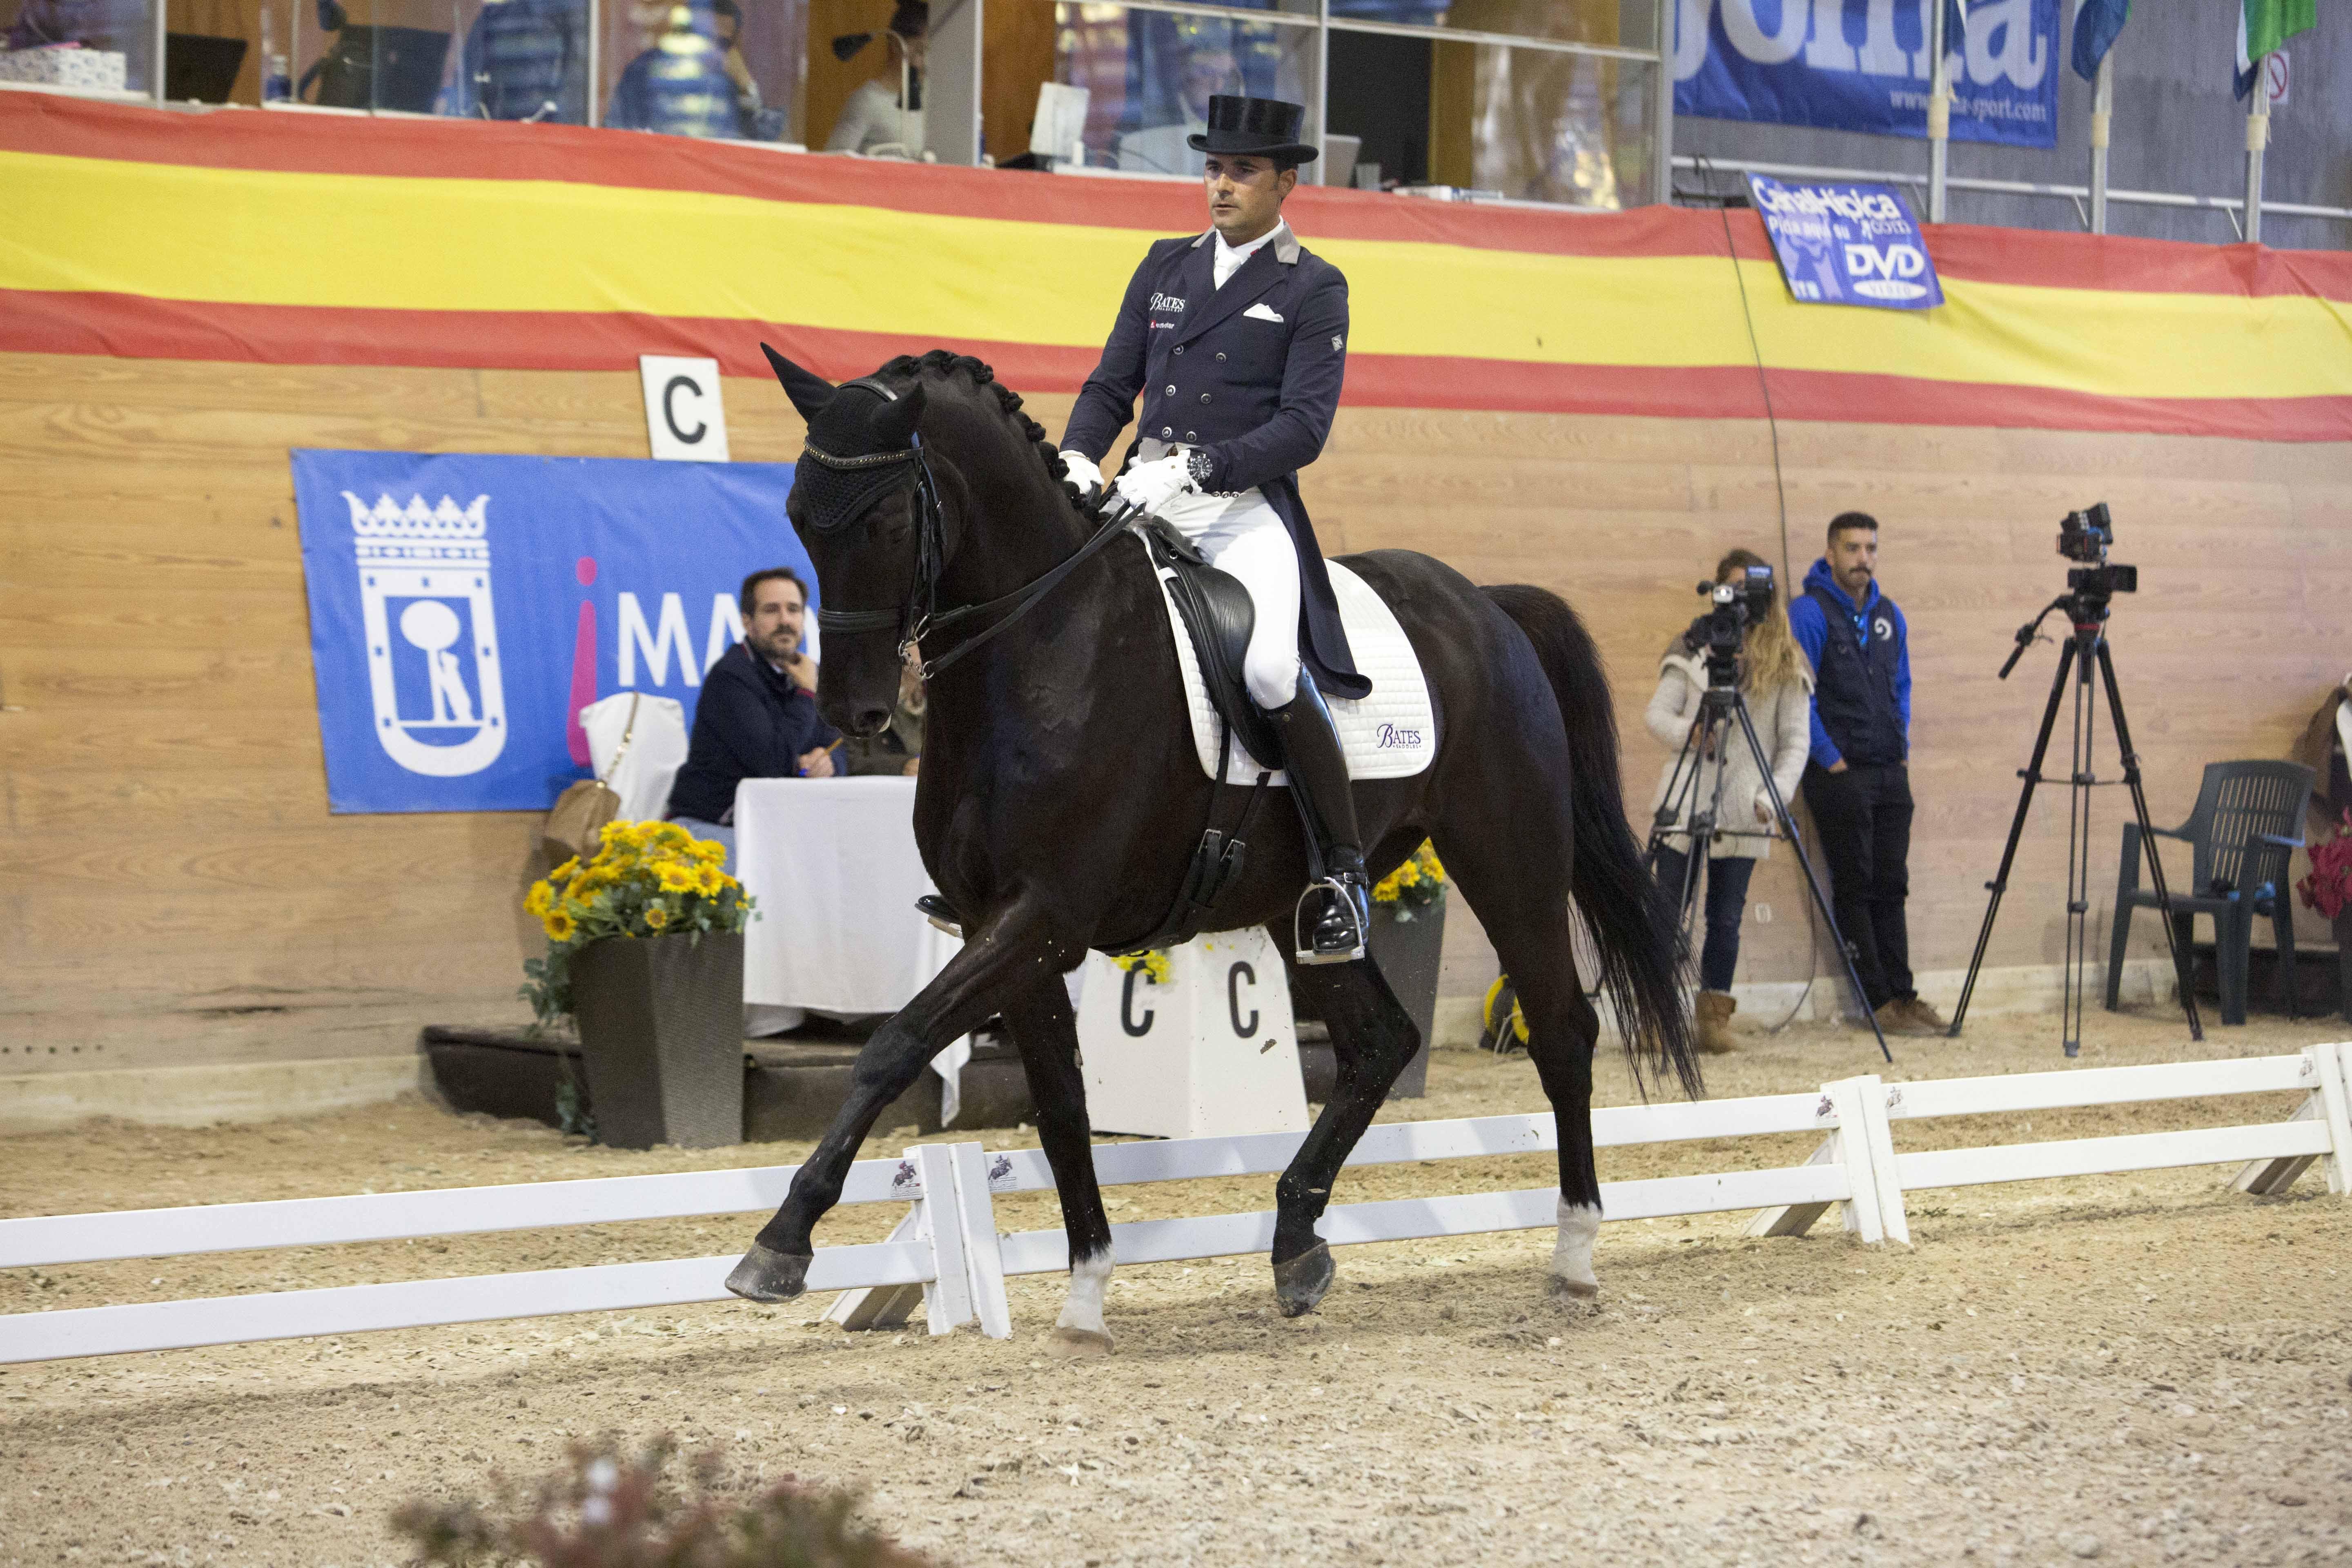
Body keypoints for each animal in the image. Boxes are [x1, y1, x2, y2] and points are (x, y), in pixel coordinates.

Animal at [724, 345, 1703, 1354]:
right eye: (797, 515)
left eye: (884, 520)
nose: (854, 715)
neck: (1043, 648)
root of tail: (1485, 606)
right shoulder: (1003, 929)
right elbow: (1062, 1105)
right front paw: (1086, 1290)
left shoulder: (1044, 918)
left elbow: (898, 1044)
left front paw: (782, 1241)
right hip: (1299, 908)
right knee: (1380, 1041)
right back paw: (1297, 1243)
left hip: (1509, 858)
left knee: (1561, 1028)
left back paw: (1574, 1253)